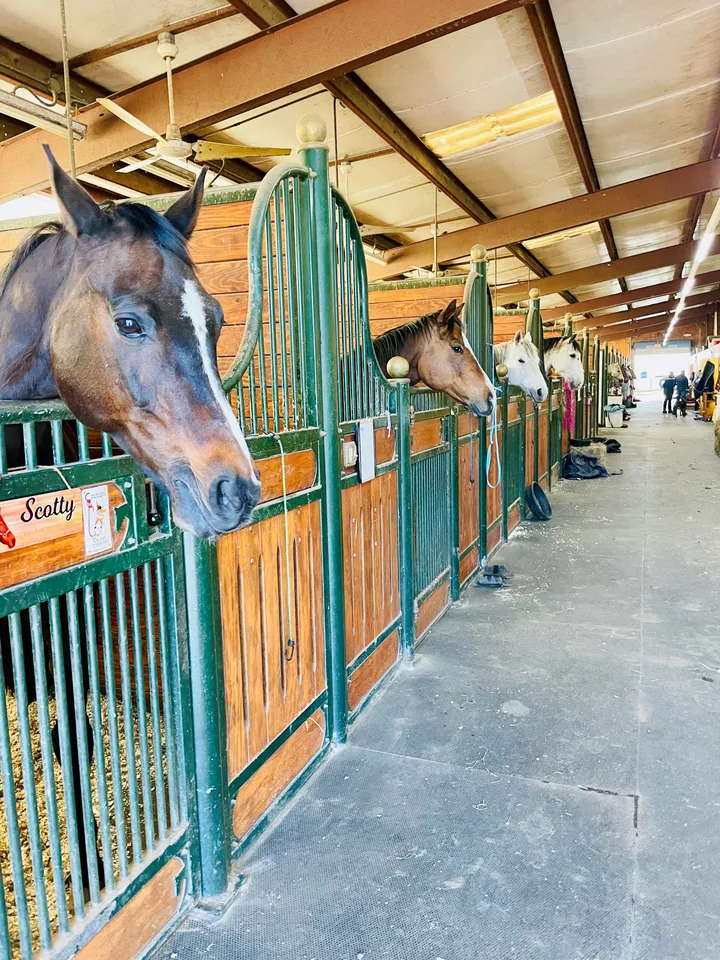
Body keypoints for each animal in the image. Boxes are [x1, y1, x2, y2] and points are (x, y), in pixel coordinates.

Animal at [0, 149, 260, 904]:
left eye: (216, 319)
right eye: (128, 323)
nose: (237, 489)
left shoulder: (65, 622)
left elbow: (75, 738)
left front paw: (92, 878)